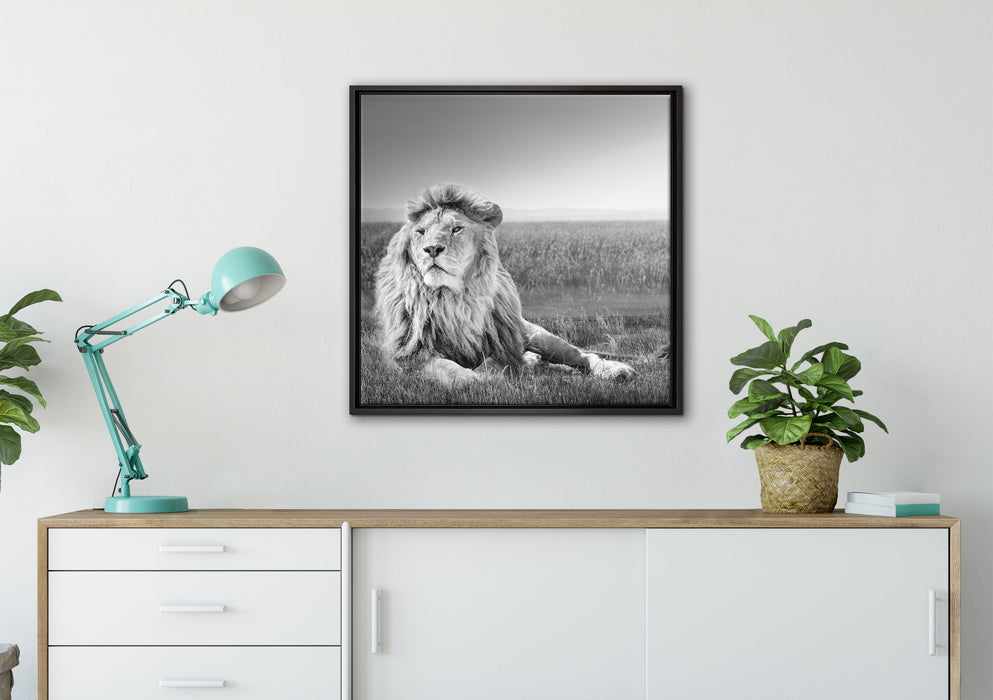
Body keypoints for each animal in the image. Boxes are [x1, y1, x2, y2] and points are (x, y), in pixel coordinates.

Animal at [374, 183, 636, 388]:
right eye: (421, 232)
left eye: (456, 229)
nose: (432, 249)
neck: (453, 299)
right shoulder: (411, 355)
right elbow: (450, 371)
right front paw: (479, 378)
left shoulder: (502, 343)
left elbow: (494, 362)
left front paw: (501, 370)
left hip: (538, 336)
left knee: (583, 355)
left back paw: (615, 370)